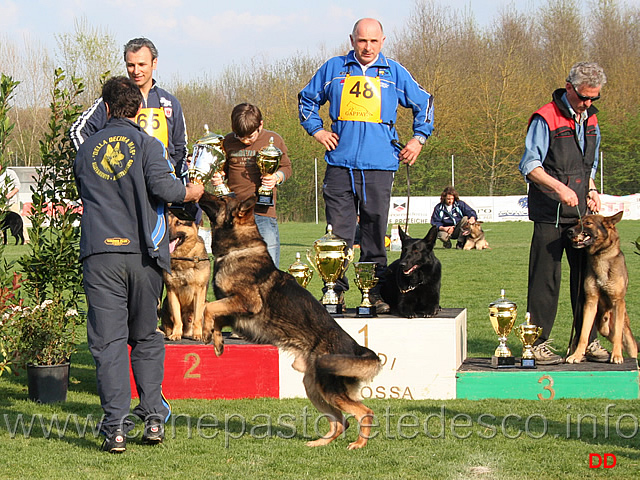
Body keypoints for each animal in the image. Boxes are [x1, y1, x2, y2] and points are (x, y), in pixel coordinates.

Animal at [568, 211, 636, 364]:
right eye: (577, 221)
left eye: (588, 223)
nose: (569, 231)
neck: (601, 257)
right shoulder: (590, 302)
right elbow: (583, 334)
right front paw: (577, 355)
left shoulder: (618, 302)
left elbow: (617, 336)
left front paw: (616, 356)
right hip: (605, 330)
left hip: (627, 335)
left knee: (630, 346)